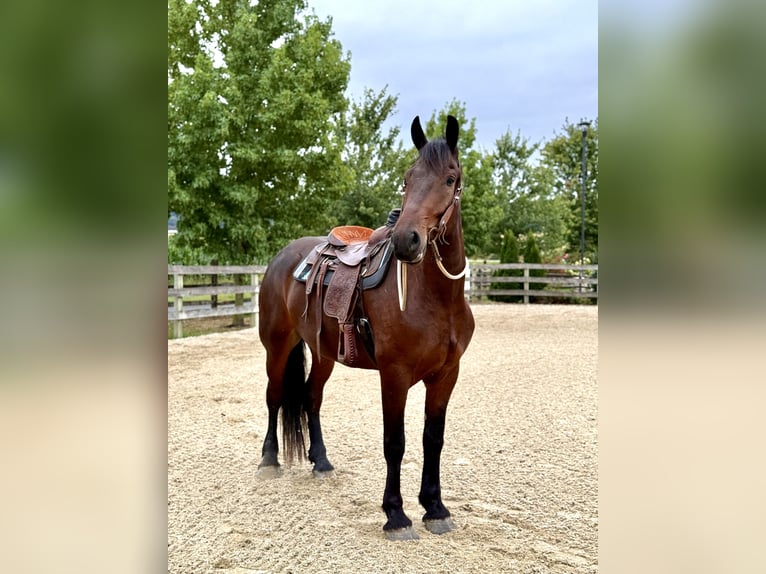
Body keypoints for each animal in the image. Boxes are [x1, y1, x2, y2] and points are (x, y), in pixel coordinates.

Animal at [257, 115, 475, 540]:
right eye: (408, 178)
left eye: (450, 178)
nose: (407, 240)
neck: (436, 299)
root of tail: (282, 258)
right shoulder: (394, 375)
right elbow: (395, 442)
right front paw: (396, 514)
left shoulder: (446, 375)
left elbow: (433, 439)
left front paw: (435, 508)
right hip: (277, 347)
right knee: (274, 397)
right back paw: (269, 460)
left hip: (323, 354)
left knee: (311, 399)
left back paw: (321, 462)